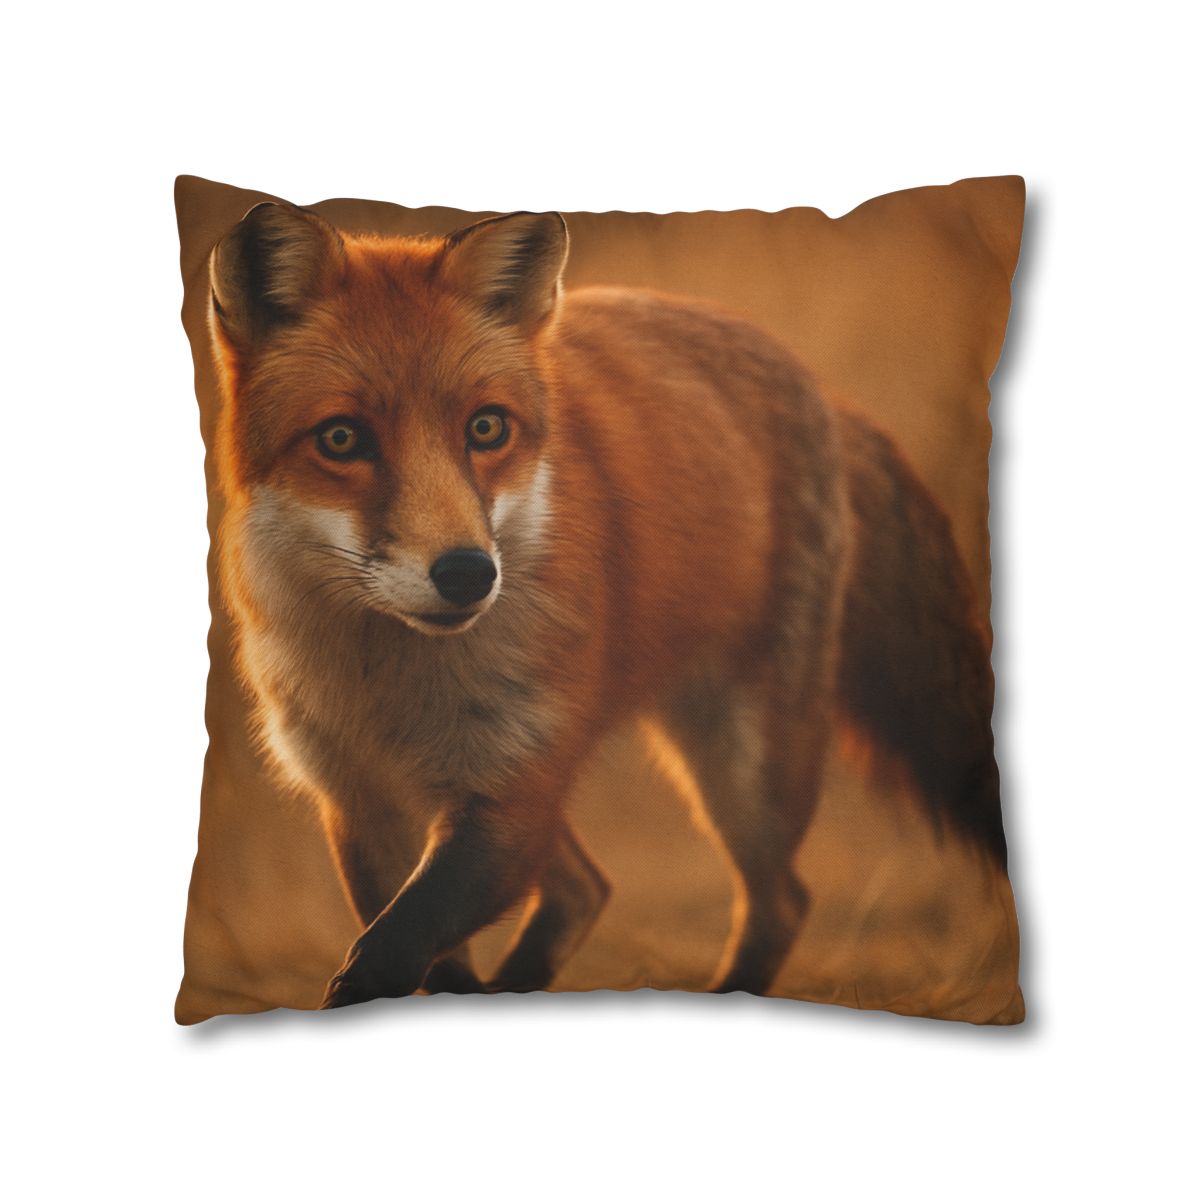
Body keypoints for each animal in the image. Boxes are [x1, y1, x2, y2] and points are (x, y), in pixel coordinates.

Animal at [208, 201, 1005, 1009]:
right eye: (341, 438)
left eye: (486, 427)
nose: (467, 574)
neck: (393, 684)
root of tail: (823, 390)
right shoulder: (362, 803)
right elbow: (419, 960)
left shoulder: (512, 791)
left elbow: (391, 950)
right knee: (586, 888)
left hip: (740, 768)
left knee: (777, 900)